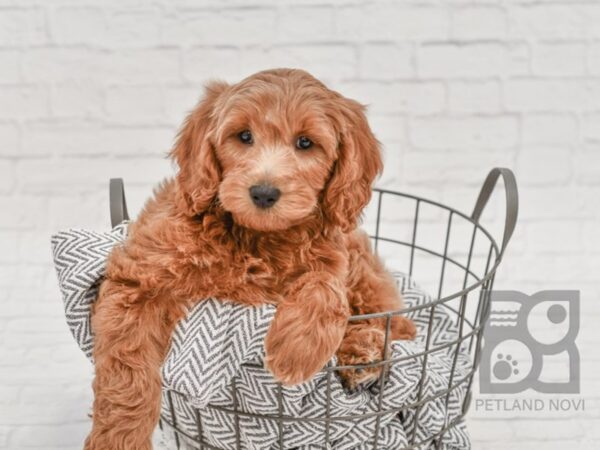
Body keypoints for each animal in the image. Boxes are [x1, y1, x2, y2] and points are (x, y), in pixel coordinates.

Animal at [85, 68, 418, 448]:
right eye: (243, 136)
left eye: (306, 143)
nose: (263, 192)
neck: (258, 237)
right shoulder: (139, 279)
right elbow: (127, 372)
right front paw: (118, 438)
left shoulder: (332, 256)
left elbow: (326, 287)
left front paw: (296, 351)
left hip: (364, 272)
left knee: (396, 323)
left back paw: (365, 354)